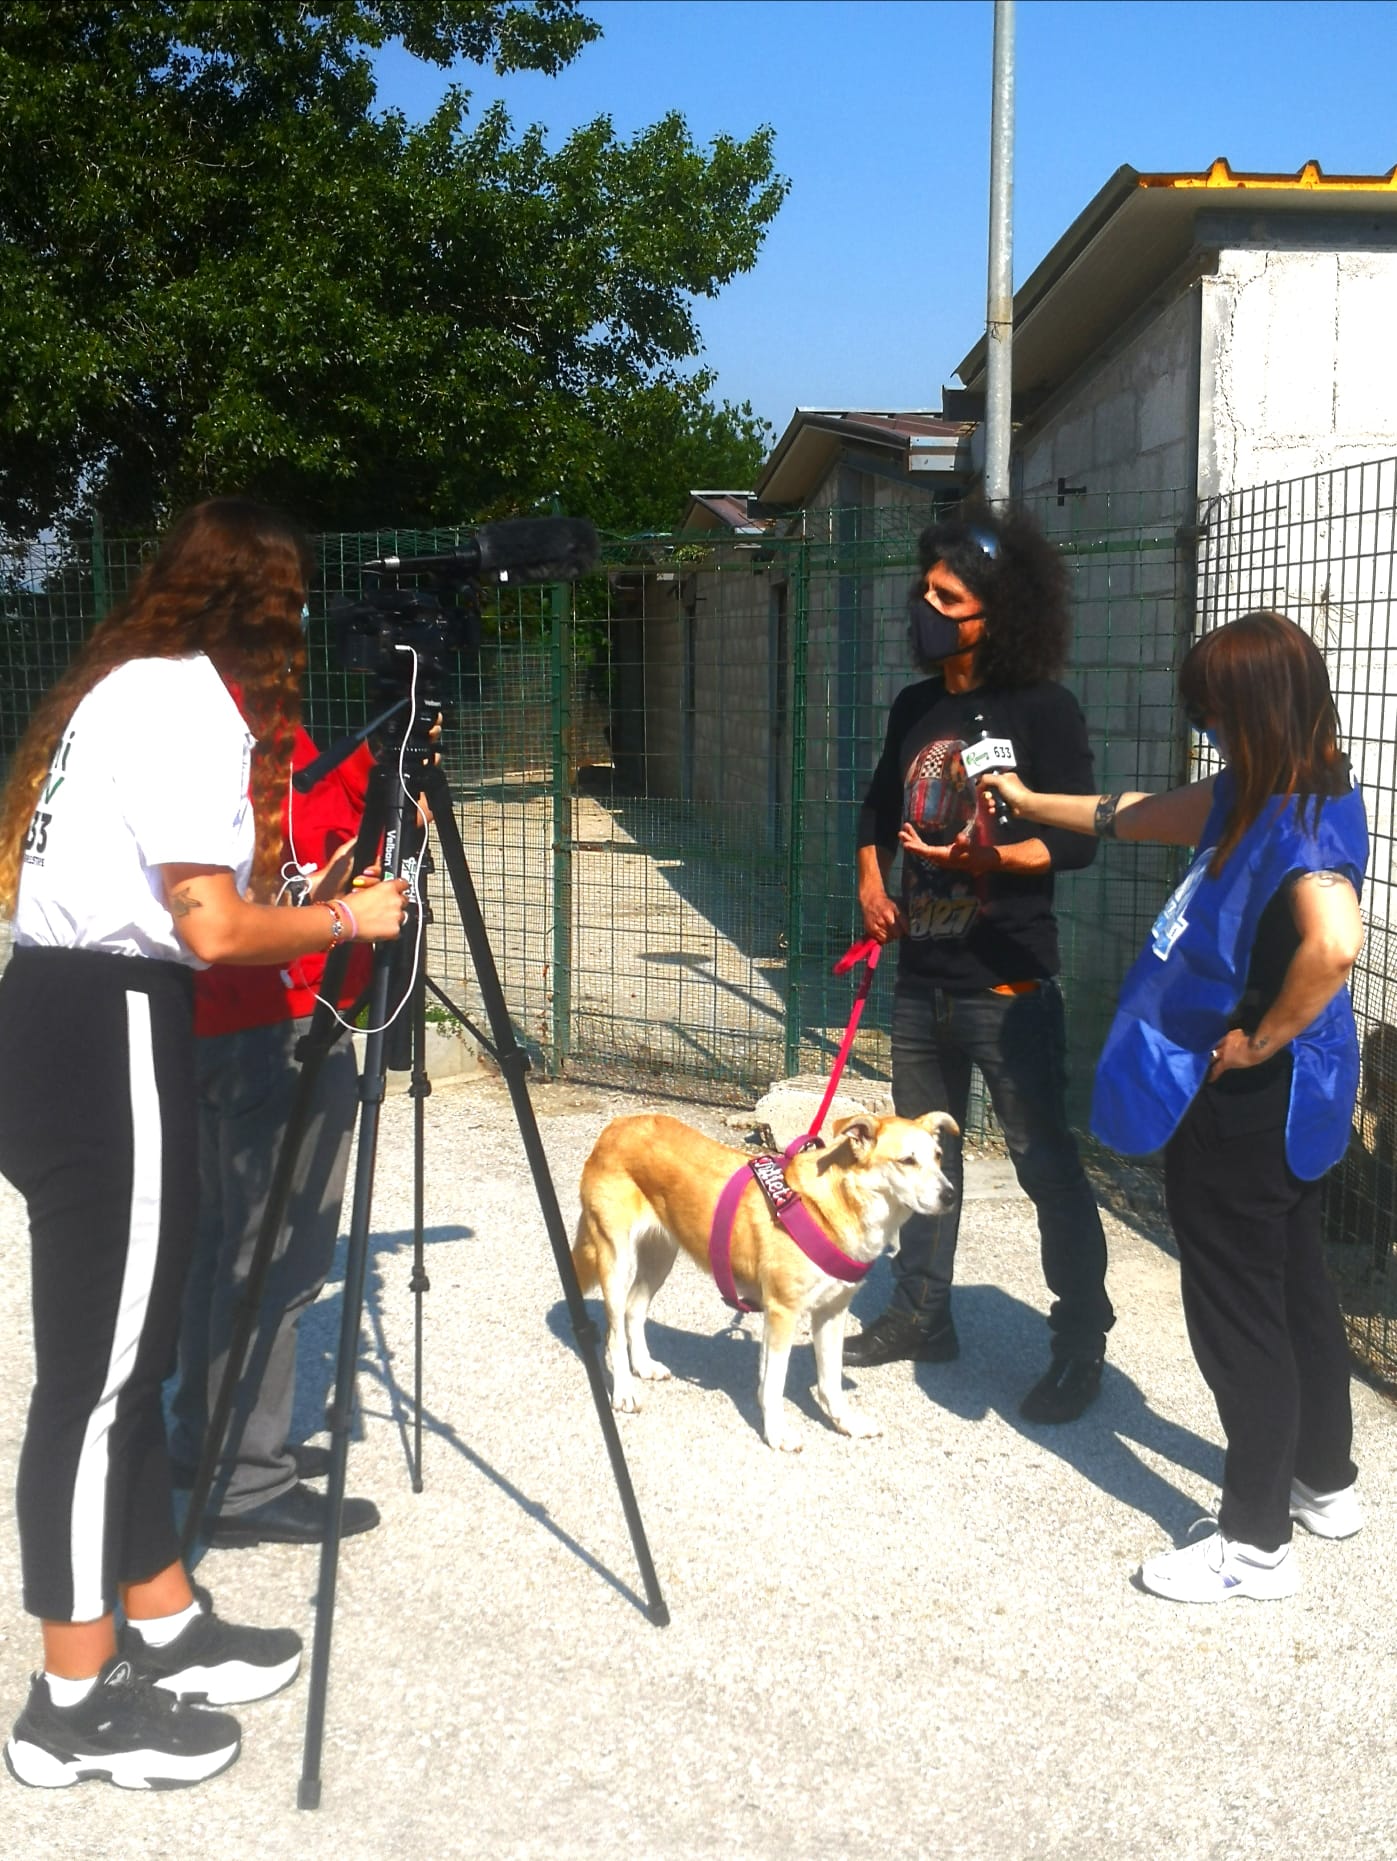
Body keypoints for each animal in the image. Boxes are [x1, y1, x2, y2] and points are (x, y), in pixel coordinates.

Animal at [571, 1109, 958, 1451]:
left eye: (939, 1157)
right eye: (907, 1161)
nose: (950, 1195)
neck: (832, 1205)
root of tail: (617, 1126)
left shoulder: (831, 1313)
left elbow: (830, 1381)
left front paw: (845, 1422)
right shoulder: (782, 1312)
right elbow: (774, 1384)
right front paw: (777, 1433)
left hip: (660, 1254)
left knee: (635, 1310)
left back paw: (644, 1365)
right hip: (616, 1258)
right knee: (614, 1332)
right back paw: (624, 1390)